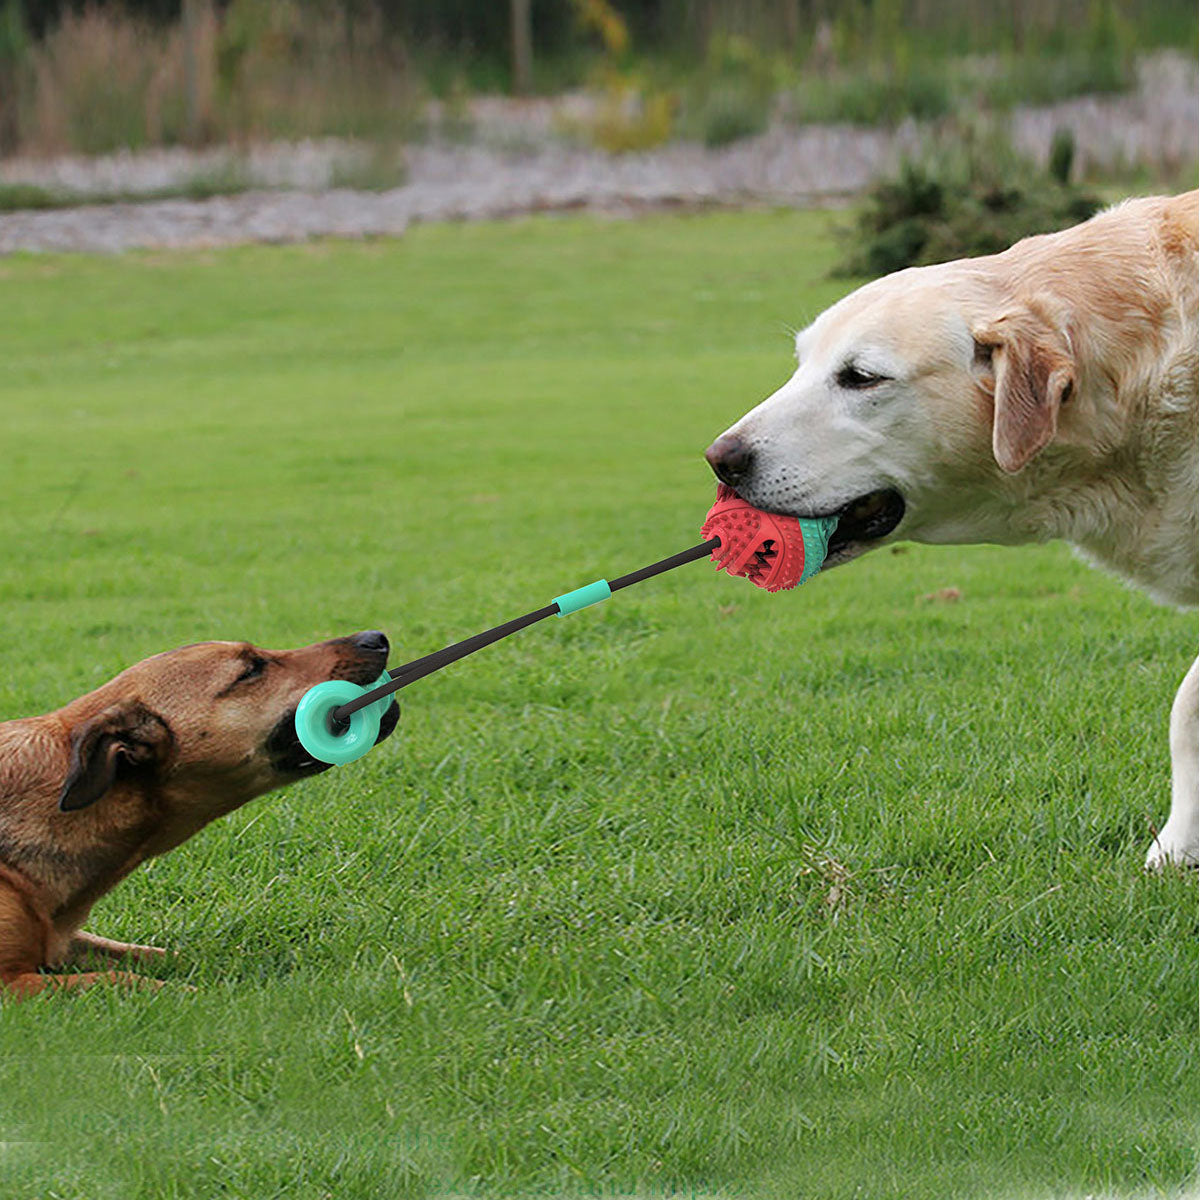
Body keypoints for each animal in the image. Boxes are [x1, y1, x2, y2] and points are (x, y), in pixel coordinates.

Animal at [0, 633, 403, 998]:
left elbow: (157, 954)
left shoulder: (69, 942)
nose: (375, 637)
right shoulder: (12, 982)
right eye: (251, 669)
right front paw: (197, 994)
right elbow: (120, 979)